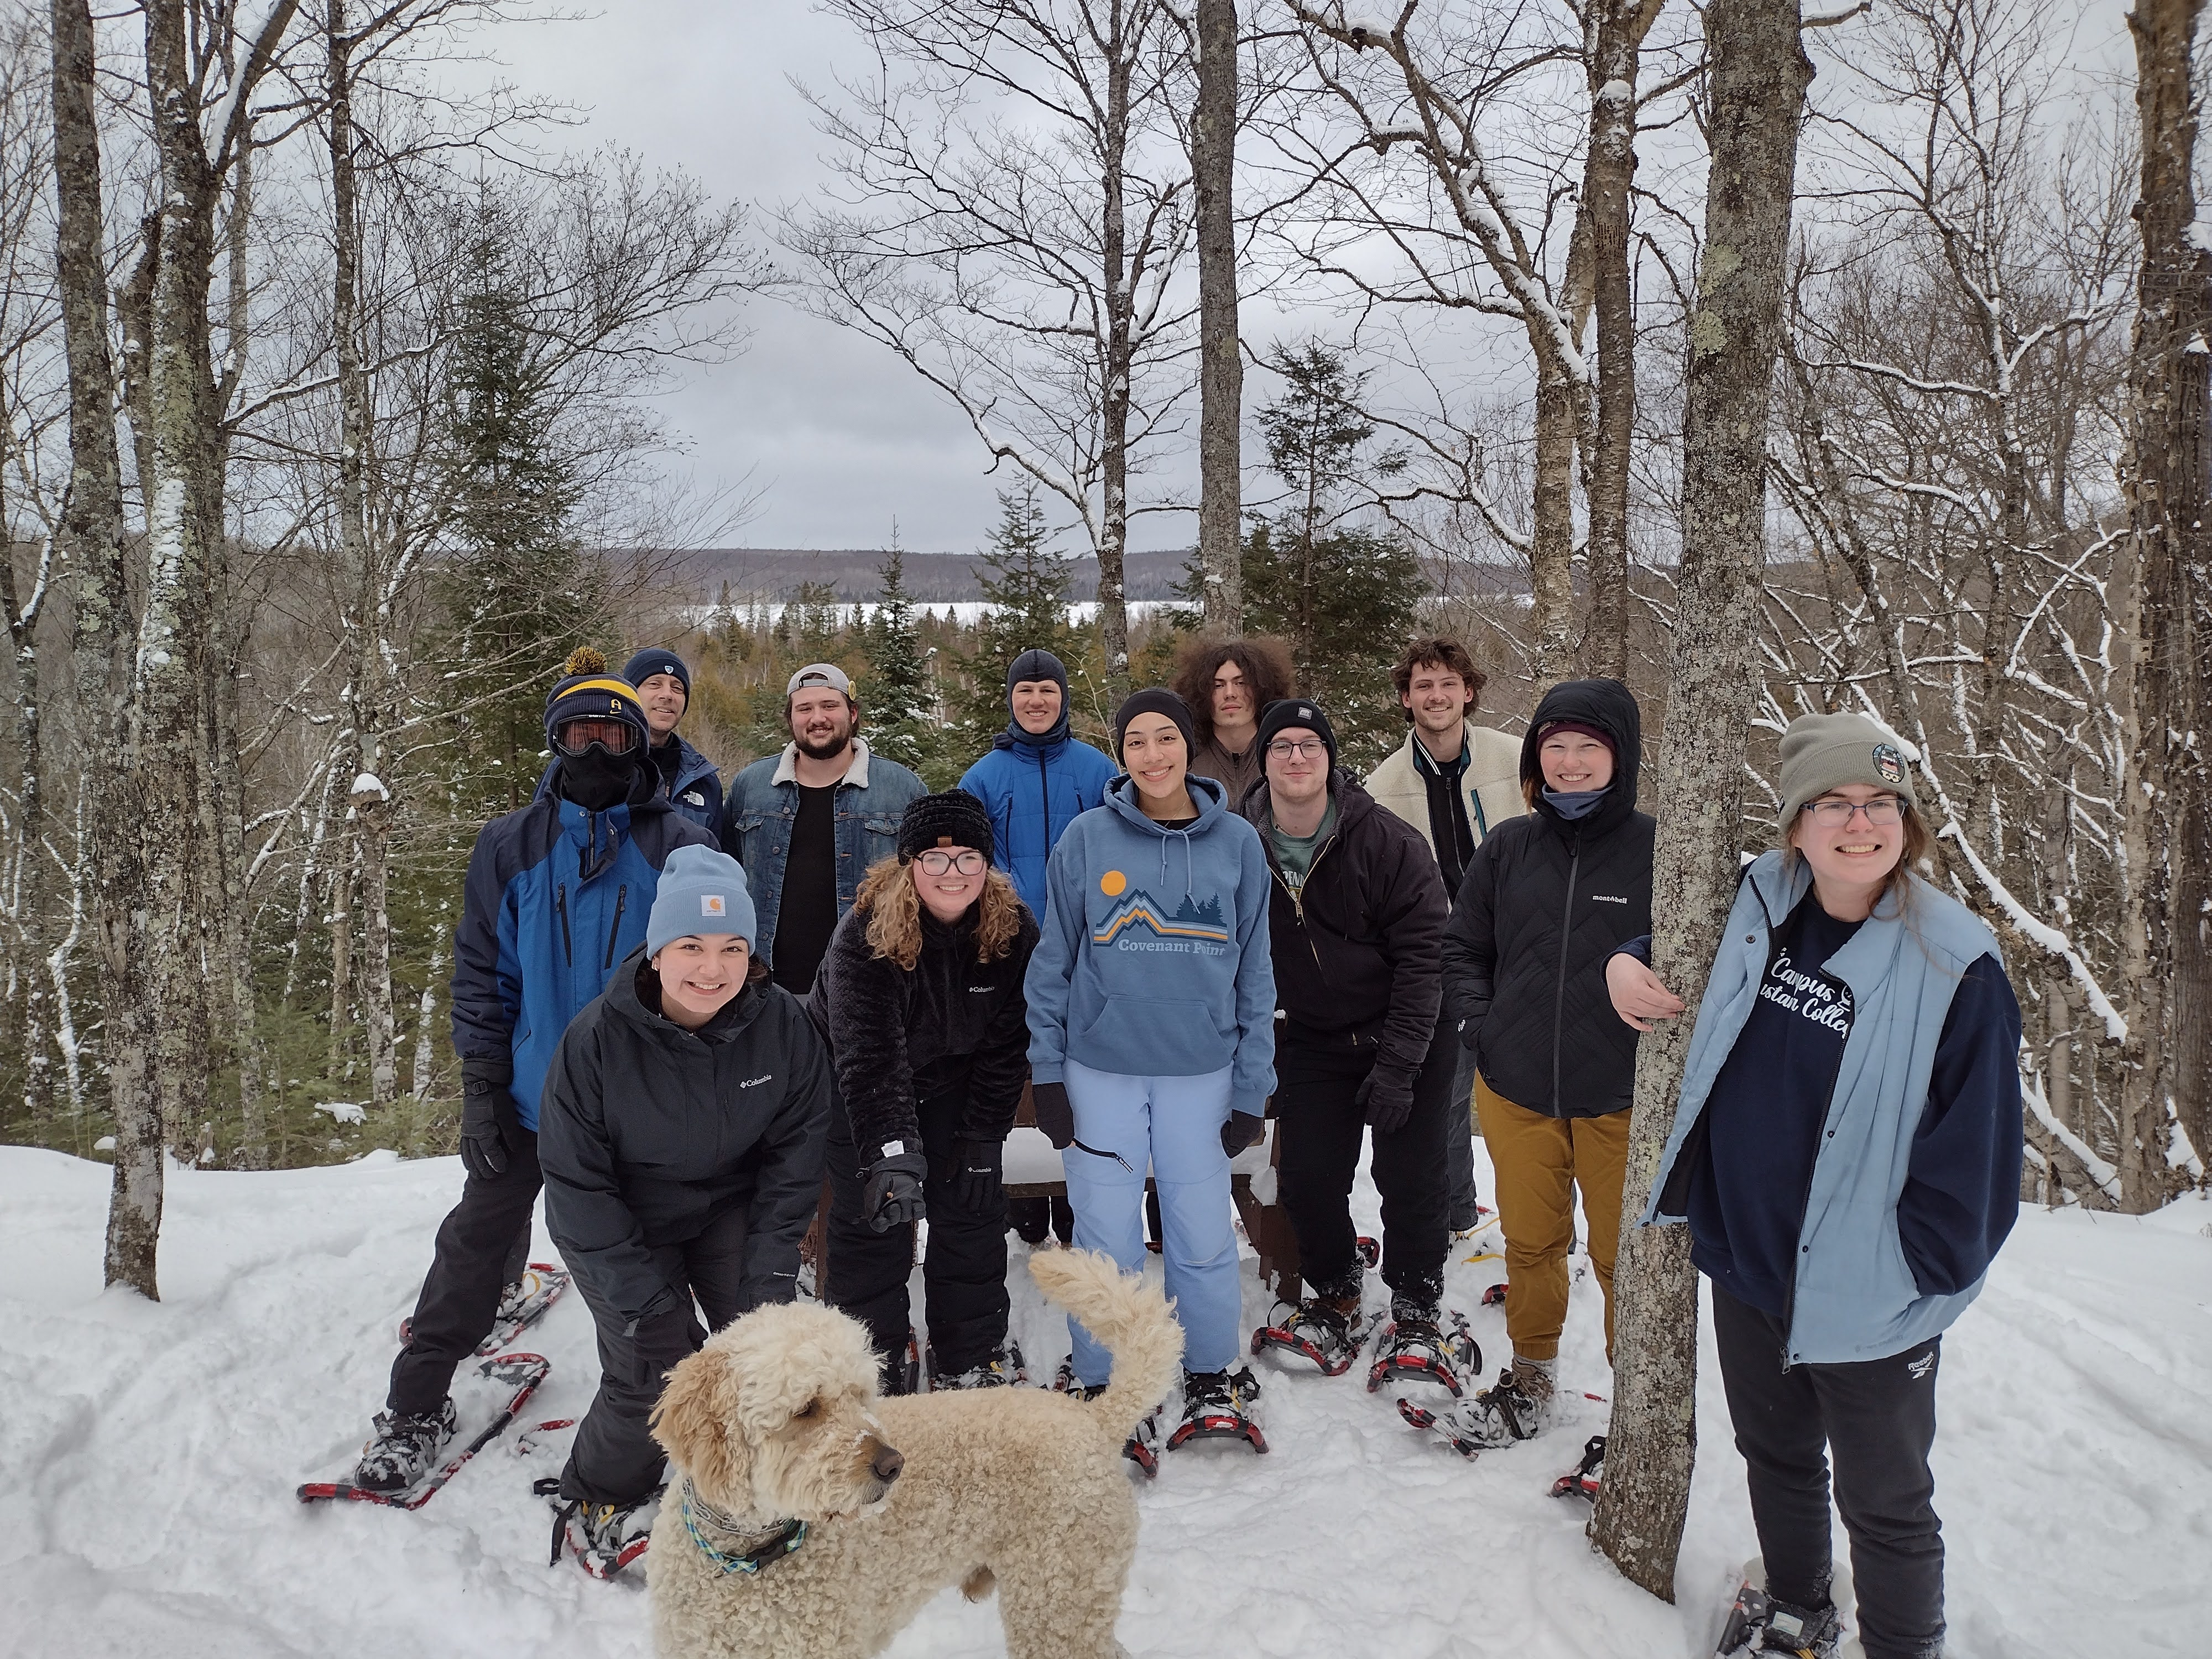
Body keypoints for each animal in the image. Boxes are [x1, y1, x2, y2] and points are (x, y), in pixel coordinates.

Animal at [646, 1256, 1186, 1655]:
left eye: (860, 1395)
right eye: (807, 1408)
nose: (893, 1465)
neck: (747, 1559)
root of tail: (1093, 1417)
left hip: (1058, 1598)